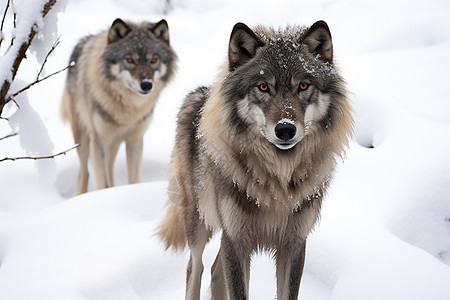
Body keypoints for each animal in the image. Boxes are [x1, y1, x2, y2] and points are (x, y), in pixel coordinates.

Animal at [59, 17, 178, 195]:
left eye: (153, 60)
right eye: (130, 60)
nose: (146, 85)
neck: (128, 109)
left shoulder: (135, 140)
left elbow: (133, 180)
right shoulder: (99, 141)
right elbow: (102, 181)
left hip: (113, 143)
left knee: (109, 168)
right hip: (83, 138)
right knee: (84, 173)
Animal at [160, 19, 354, 298]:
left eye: (303, 86)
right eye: (263, 87)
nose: (285, 129)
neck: (278, 180)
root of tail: (198, 94)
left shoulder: (294, 244)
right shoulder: (236, 240)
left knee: (215, 271)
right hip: (199, 224)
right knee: (194, 267)